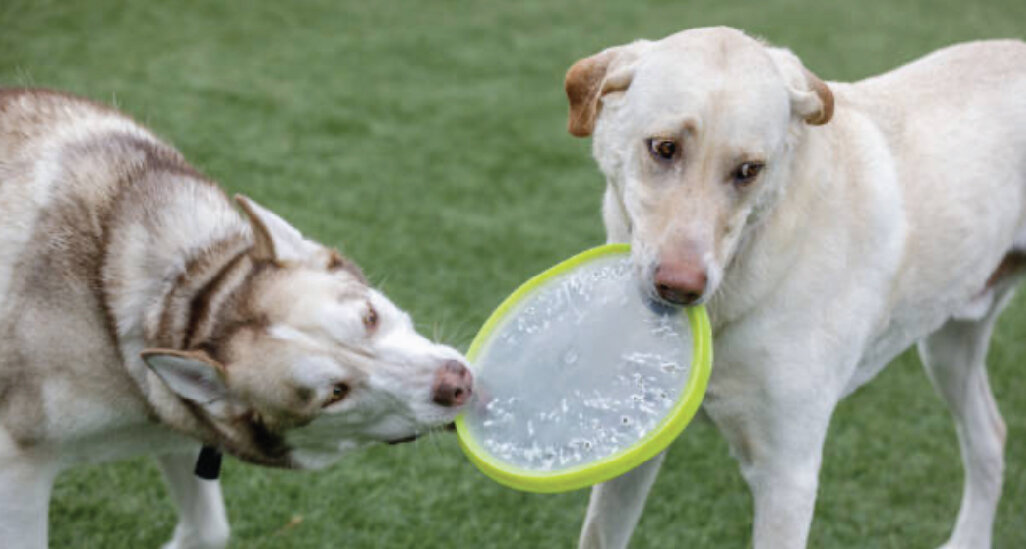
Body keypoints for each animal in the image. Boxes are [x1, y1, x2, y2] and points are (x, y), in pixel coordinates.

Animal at [0, 88, 471, 545]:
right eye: (335, 394)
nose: (458, 384)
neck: (178, 291)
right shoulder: (18, 464)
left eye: (370, 317)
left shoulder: (186, 431)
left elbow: (210, 529)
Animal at [566, 27, 1026, 549]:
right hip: (949, 346)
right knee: (990, 436)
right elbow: (600, 533)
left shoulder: (788, 474)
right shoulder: (636, 443)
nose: (680, 288)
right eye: (664, 148)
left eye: (749, 170)